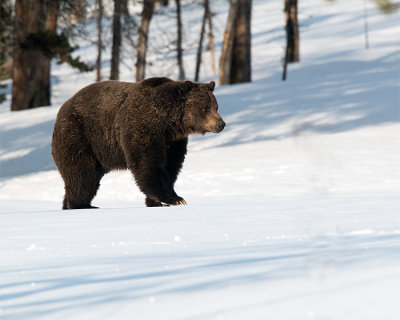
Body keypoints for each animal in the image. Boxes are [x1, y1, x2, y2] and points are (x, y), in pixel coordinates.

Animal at [51, 76, 225, 209]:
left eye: (216, 106)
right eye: (205, 108)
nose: (221, 124)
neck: (168, 122)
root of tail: (61, 110)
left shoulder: (173, 142)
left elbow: (171, 166)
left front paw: (156, 201)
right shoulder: (143, 127)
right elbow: (147, 163)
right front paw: (175, 199)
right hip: (80, 137)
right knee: (82, 175)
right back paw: (79, 205)